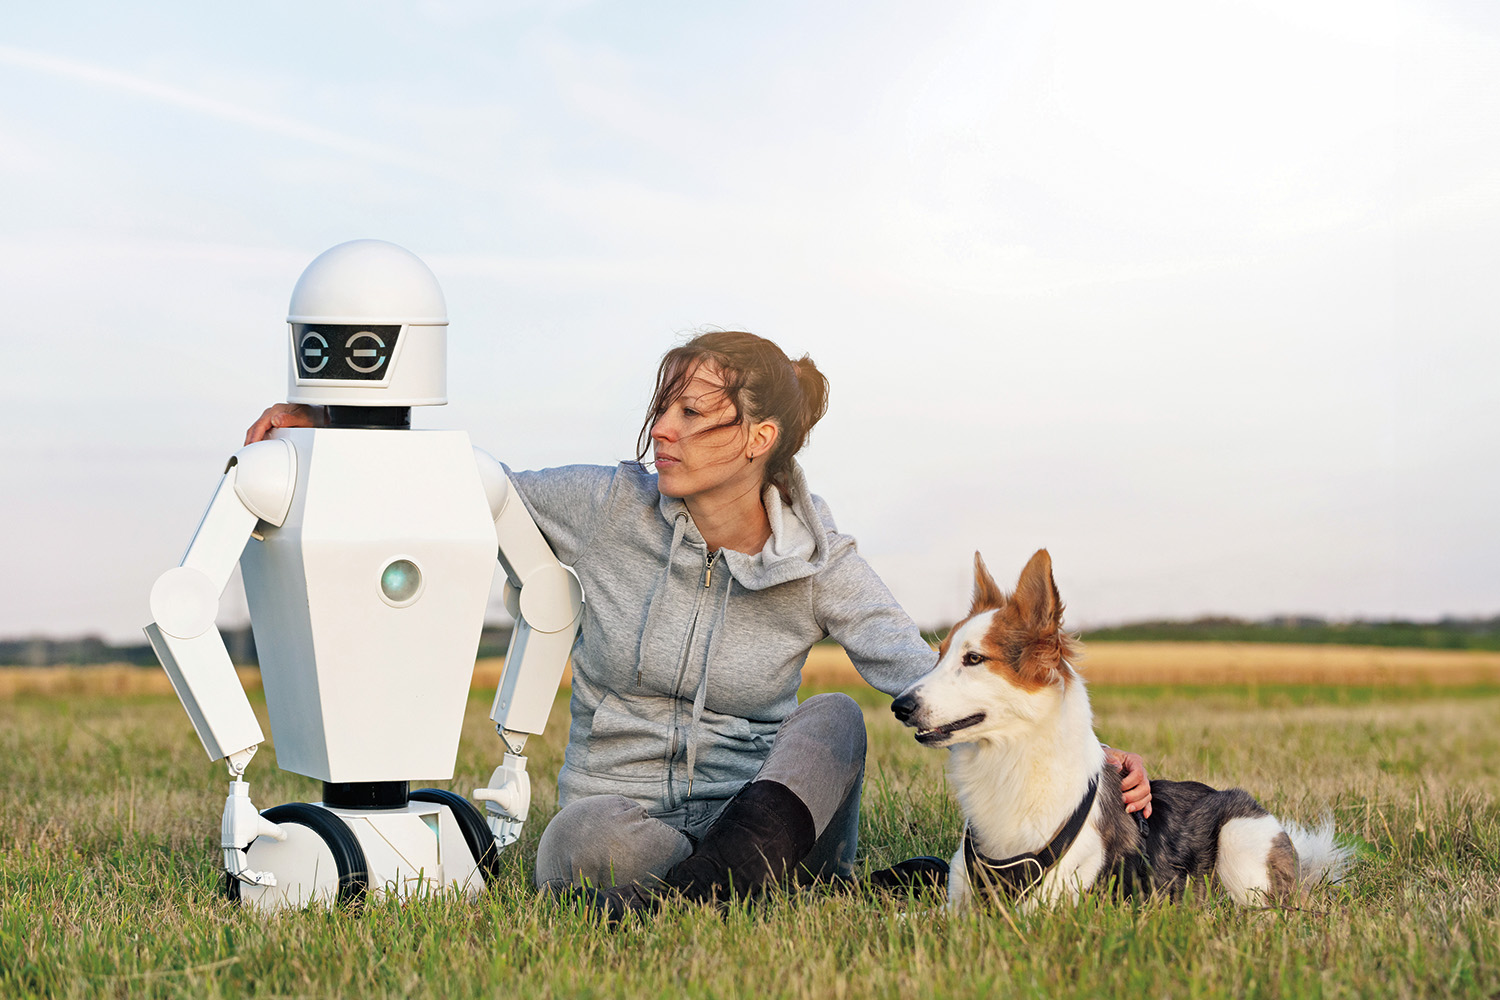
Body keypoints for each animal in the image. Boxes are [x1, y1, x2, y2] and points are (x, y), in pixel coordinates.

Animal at [888, 551, 1350, 911]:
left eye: (974, 659)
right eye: (939, 655)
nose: (899, 707)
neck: (1009, 761)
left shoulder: (1041, 913)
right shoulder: (958, 904)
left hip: (1239, 843)